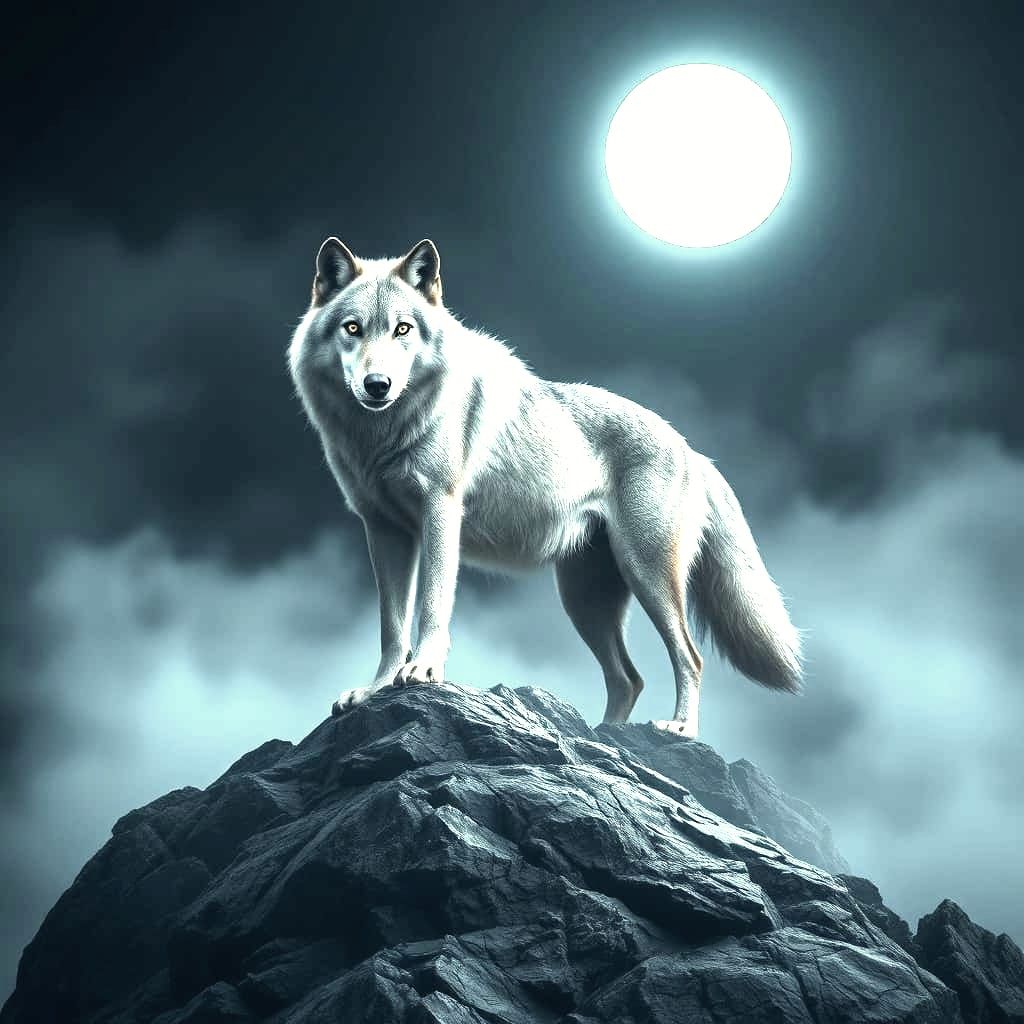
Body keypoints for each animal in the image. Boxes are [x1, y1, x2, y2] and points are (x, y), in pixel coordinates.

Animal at [288, 237, 804, 737]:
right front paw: (374, 691)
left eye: (402, 329)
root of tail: (693, 452)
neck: (383, 434)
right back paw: (601, 735)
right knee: (629, 678)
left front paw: (424, 671)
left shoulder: (440, 511)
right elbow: (391, 626)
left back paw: (679, 728)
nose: (378, 384)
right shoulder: (383, 530)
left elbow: (432, 605)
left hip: (647, 575)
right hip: (583, 599)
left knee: (689, 658)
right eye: (353, 328)